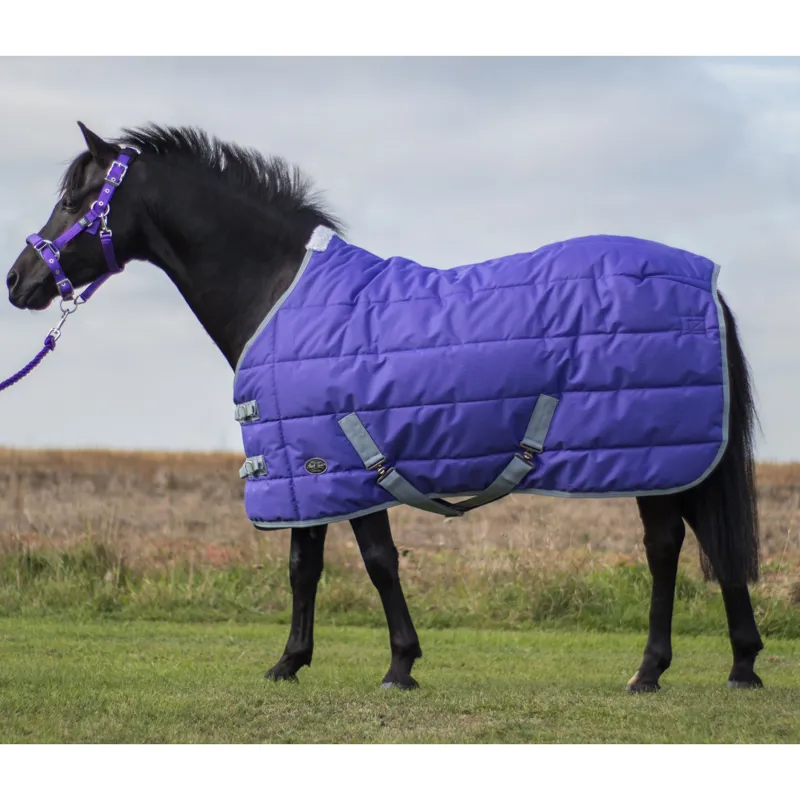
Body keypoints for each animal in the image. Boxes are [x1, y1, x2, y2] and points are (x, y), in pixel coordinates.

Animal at [6, 122, 764, 692]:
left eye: (74, 199)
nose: (19, 280)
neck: (279, 291)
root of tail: (704, 281)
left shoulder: (341, 461)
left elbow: (375, 560)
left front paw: (400, 664)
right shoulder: (307, 465)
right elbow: (305, 565)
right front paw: (290, 662)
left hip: (656, 458)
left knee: (667, 548)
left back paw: (656, 670)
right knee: (708, 542)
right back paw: (741, 663)